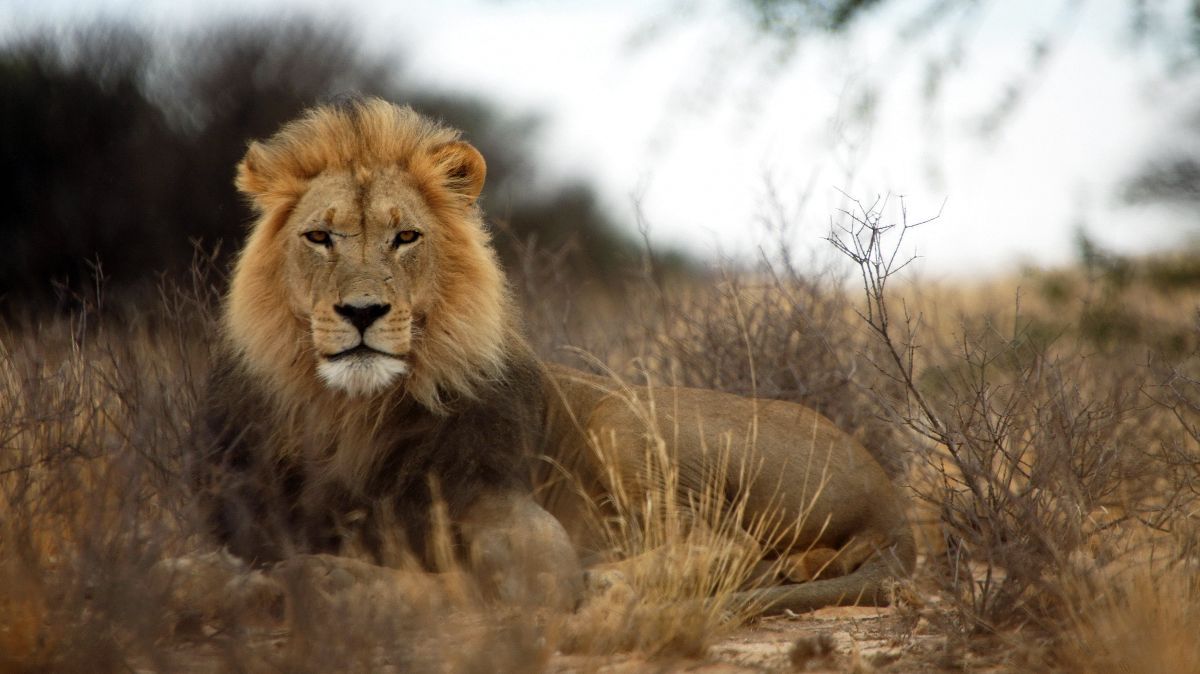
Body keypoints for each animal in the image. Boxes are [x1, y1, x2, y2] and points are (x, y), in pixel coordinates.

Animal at [194, 95, 907, 614]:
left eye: (406, 238)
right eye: (319, 237)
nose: (362, 311)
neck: (354, 414)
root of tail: (888, 494)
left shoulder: (516, 520)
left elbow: (484, 585)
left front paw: (324, 579)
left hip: (622, 422)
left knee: (727, 542)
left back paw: (616, 582)